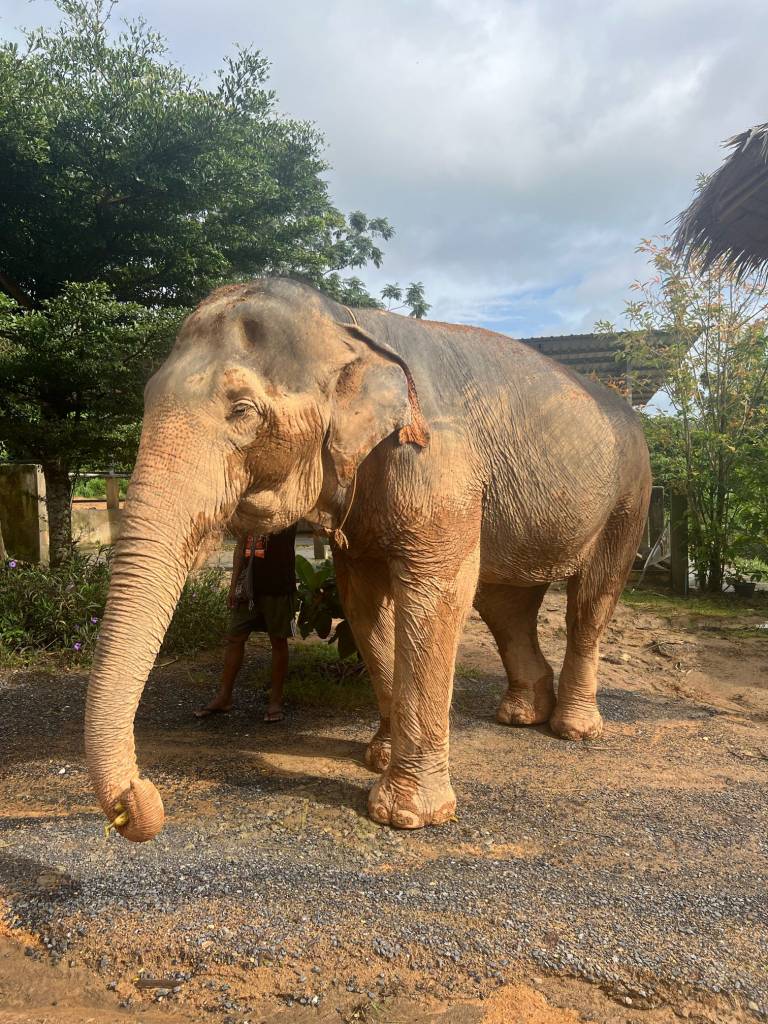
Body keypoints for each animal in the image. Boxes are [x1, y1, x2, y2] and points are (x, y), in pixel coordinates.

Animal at [85, 277, 651, 842]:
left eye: (242, 409)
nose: (140, 797)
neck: (348, 323)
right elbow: (362, 601)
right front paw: (376, 758)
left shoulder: (437, 465)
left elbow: (436, 596)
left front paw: (406, 815)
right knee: (504, 606)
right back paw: (520, 715)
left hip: (631, 496)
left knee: (590, 600)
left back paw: (573, 729)